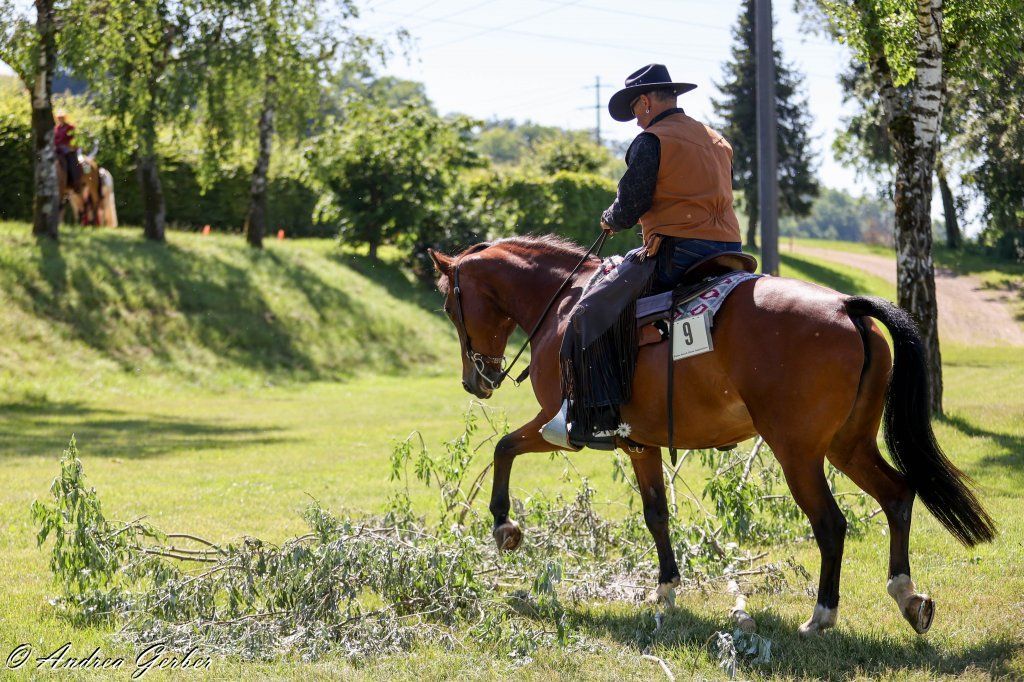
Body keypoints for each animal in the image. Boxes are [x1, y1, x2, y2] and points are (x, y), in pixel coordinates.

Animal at [428, 234, 995, 637]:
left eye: (451, 307)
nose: (475, 380)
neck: (563, 304)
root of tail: (844, 307)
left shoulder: (558, 423)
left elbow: (504, 446)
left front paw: (504, 526)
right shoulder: (640, 443)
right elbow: (656, 514)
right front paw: (666, 589)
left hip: (799, 454)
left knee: (831, 524)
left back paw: (821, 616)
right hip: (847, 446)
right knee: (897, 494)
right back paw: (908, 596)